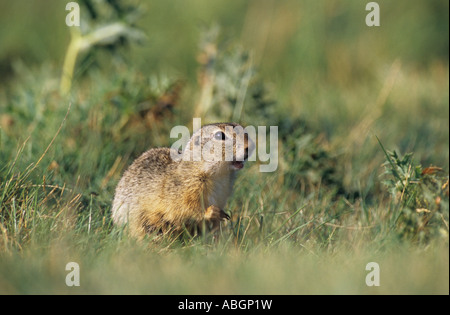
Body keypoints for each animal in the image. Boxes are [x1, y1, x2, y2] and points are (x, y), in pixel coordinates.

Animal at [111, 122, 255, 238]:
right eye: (220, 136)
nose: (251, 146)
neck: (219, 176)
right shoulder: (185, 190)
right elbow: (187, 209)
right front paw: (212, 212)